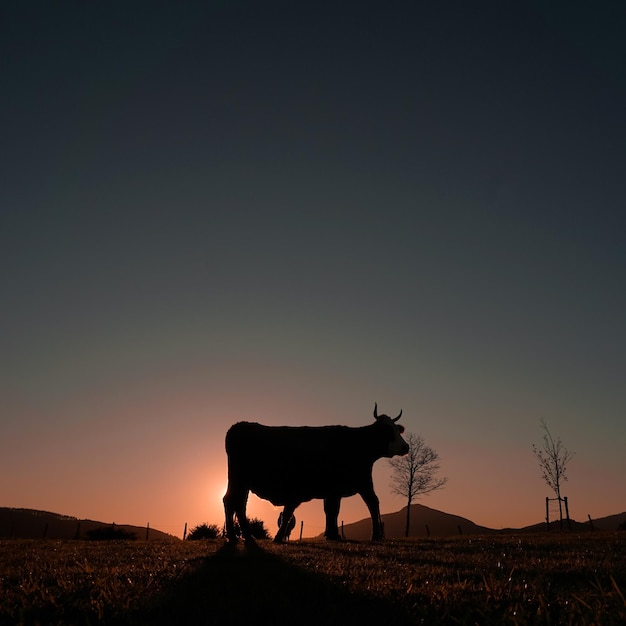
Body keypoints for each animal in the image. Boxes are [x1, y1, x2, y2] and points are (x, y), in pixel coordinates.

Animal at [222, 404, 408, 540]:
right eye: (388, 431)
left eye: (397, 429)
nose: (406, 447)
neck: (357, 443)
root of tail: (238, 426)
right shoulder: (359, 482)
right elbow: (365, 504)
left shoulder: (336, 489)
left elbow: (332, 510)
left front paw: (332, 535)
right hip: (240, 480)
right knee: (233, 502)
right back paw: (237, 536)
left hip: (241, 482)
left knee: (235, 503)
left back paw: (240, 536)